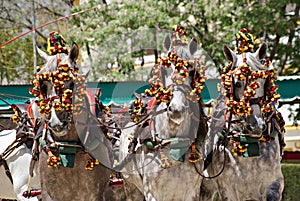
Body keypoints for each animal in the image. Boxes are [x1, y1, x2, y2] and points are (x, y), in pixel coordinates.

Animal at [118, 32, 207, 200]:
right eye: (164, 69)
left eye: (192, 71)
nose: (177, 109)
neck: (172, 141)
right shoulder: (152, 193)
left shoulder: (191, 192)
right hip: (131, 187)